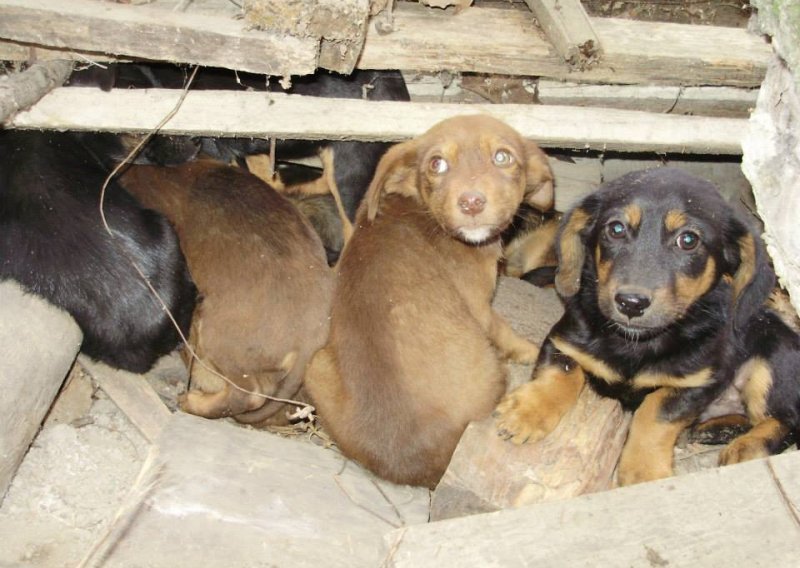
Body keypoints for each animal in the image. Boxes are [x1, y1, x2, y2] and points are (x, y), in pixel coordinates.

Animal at [304, 115, 552, 488]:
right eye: (437, 164)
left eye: (503, 157)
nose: (471, 203)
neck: (411, 203)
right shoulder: (481, 307)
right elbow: (507, 332)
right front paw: (532, 351)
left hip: (315, 364)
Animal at [494, 168, 800, 484]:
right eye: (616, 229)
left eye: (688, 240)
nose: (631, 303)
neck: (635, 342)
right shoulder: (562, 341)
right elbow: (562, 373)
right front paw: (527, 412)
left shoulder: (696, 382)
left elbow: (654, 413)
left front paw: (643, 470)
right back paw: (716, 429)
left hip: (771, 361)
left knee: (786, 420)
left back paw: (747, 445)